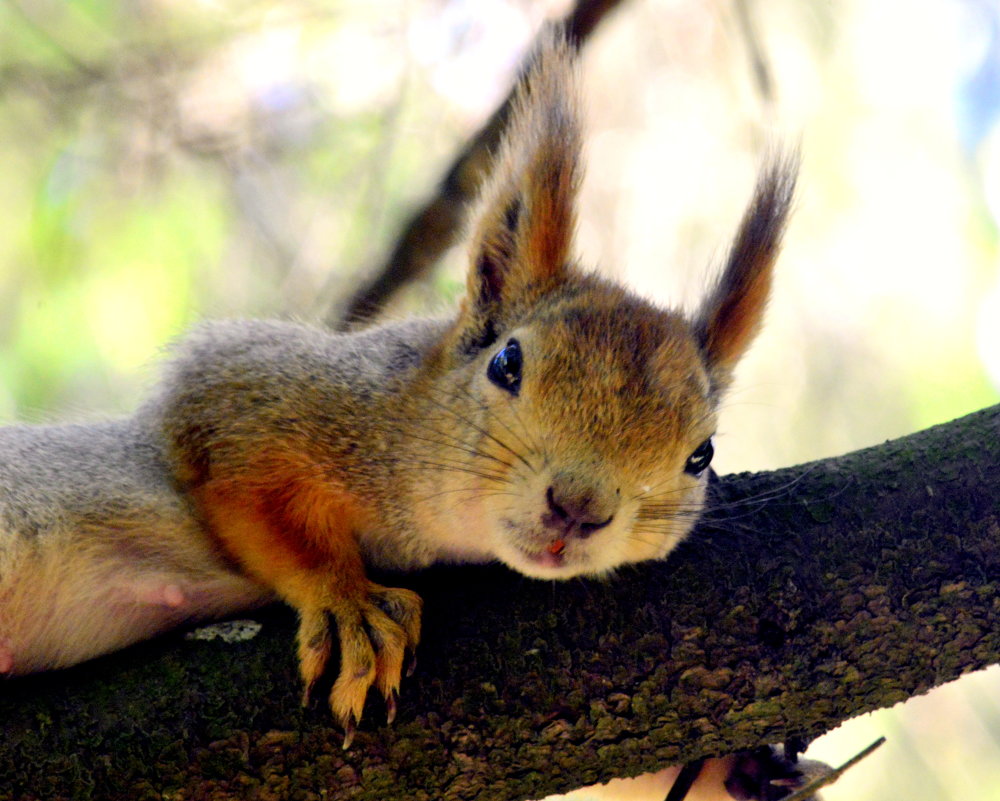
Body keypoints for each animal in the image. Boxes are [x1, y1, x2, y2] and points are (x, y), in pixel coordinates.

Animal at [0, 31, 796, 756]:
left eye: (701, 454)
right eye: (507, 362)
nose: (579, 507)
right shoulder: (255, 392)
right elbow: (233, 470)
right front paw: (348, 601)